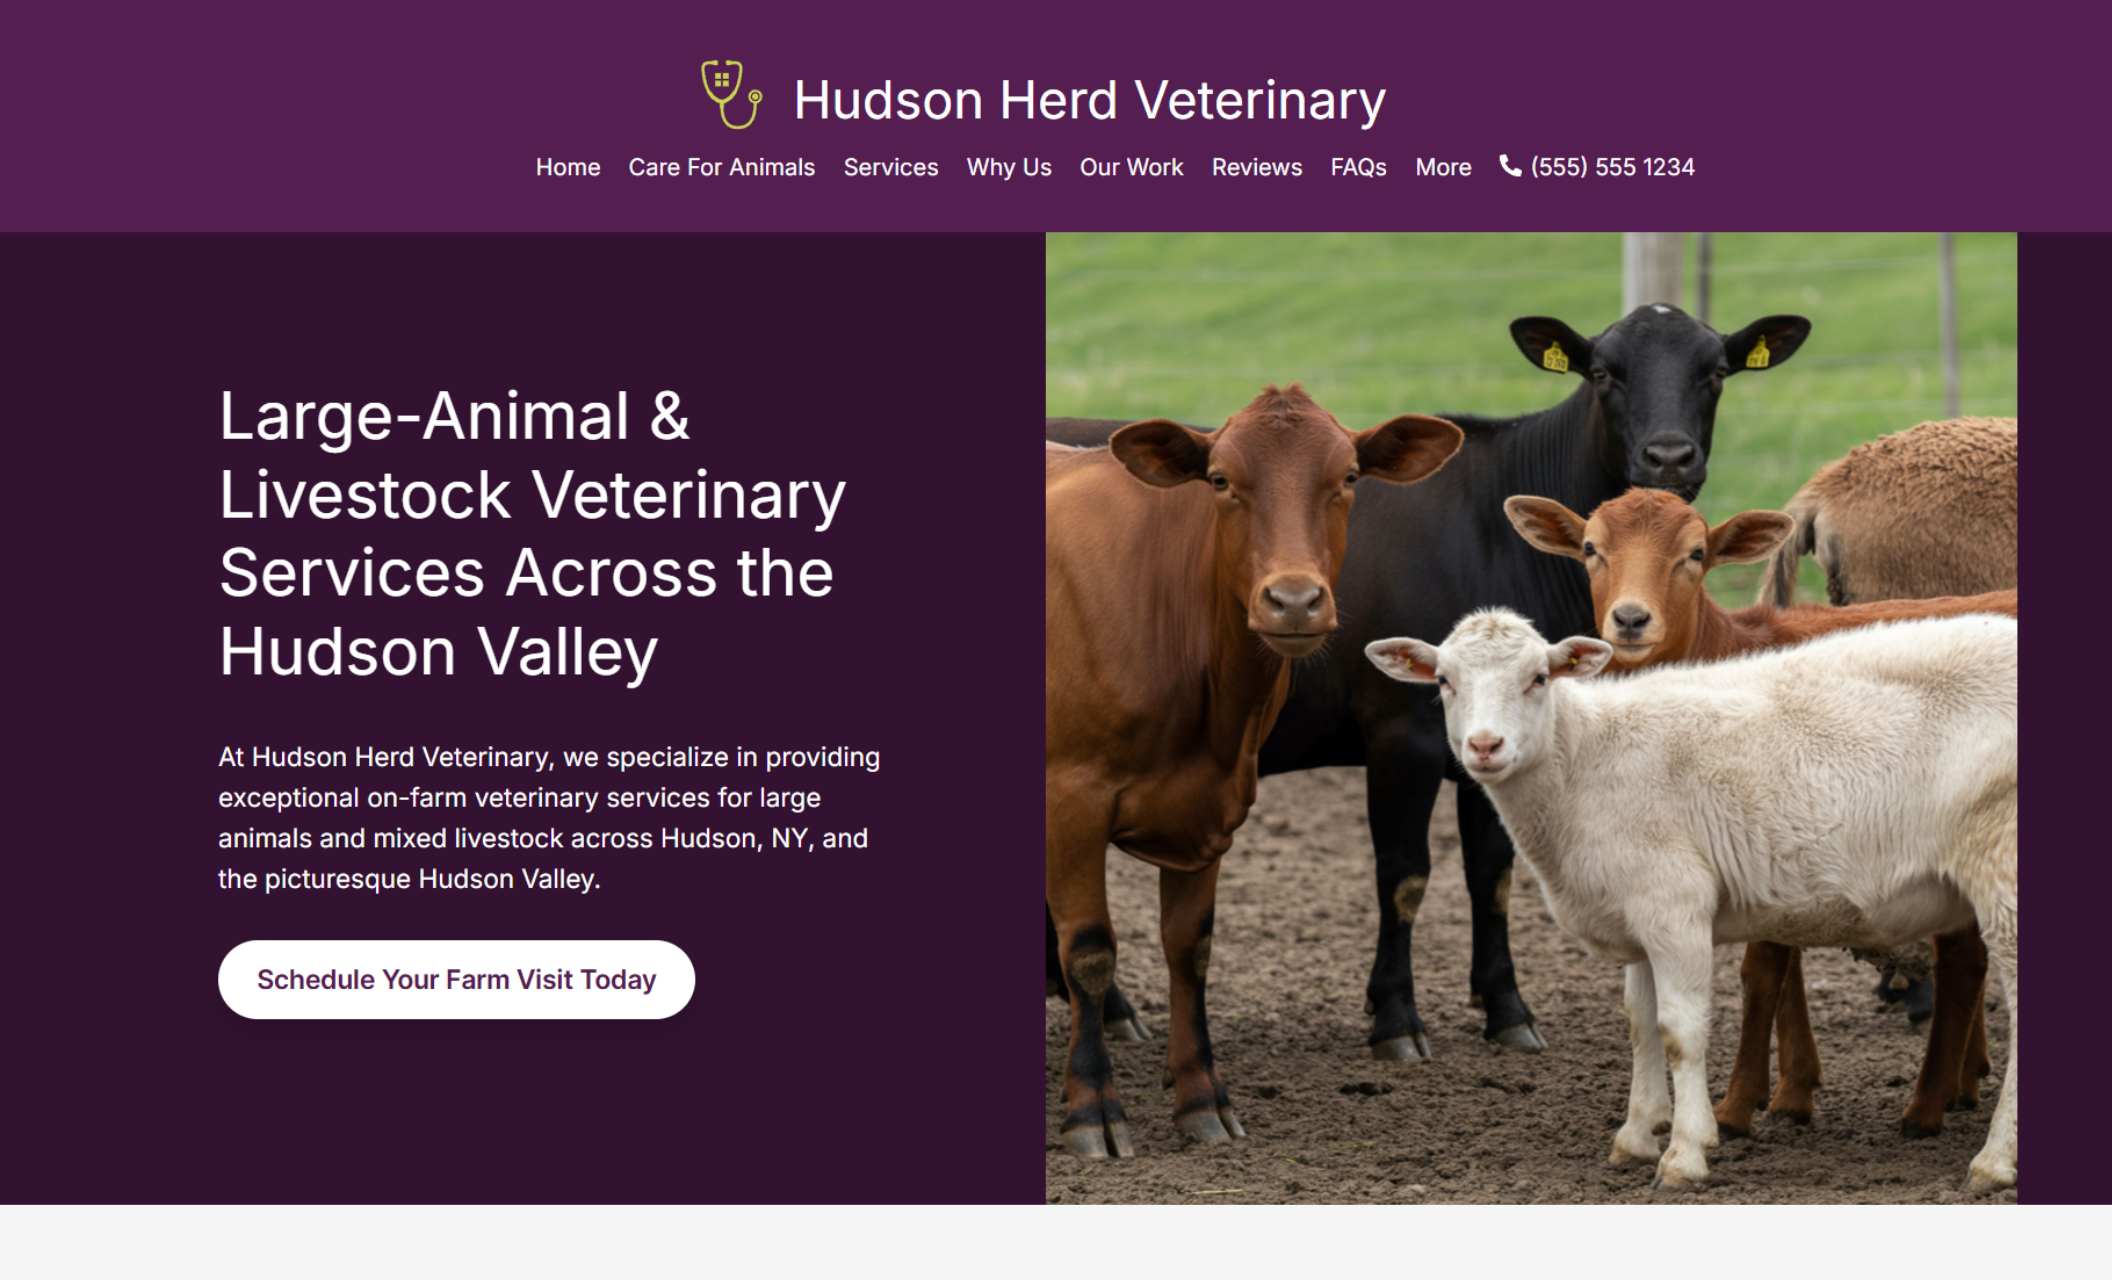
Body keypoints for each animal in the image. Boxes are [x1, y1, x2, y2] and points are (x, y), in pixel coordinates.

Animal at [1046, 384, 1461, 1157]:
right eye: (1220, 480)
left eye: (1348, 477)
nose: (1294, 600)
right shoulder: (1072, 799)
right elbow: (1088, 950)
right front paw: (1093, 1108)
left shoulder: (1211, 804)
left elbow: (1191, 950)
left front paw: (1201, 1097)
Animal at [1048, 304, 1811, 1060]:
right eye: (1602, 372)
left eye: (1717, 370)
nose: (1669, 457)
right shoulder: (1401, 733)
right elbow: (1405, 875)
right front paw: (1395, 1017)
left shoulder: (1499, 735)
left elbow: (1493, 875)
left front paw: (1507, 1010)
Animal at [1364, 609, 2018, 1193]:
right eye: (1444, 680)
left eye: (1539, 678)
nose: (1484, 745)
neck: (1583, 763)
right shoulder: (1635, 913)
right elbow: (1639, 1025)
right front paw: (1635, 1137)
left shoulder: (1673, 903)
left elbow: (1679, 1030)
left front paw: (1684, 1154)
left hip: (2003, 864)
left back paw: (1993, 1163)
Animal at [1505, 487, 2016, 1138]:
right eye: (1591, 549)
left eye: (1695, 553)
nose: (1630, 619)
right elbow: (1783, 962)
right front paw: (1794, 1089)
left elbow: (1761, 974)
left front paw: (1737, 1105)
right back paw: (1958, 1084)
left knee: (1965, 960)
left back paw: (1928, 1105)